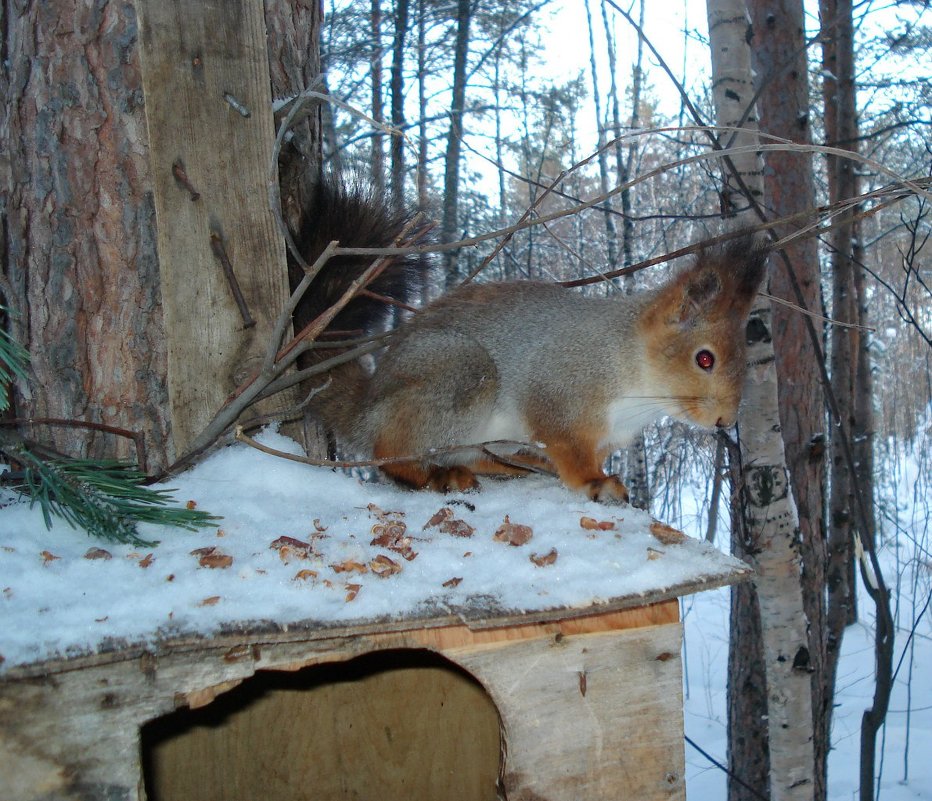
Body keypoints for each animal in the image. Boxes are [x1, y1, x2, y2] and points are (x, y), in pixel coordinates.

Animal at [294, 177, 768, 500]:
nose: (726, 420)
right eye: (704, 359)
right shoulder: (558, 396)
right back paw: (436, 475)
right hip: (458, 373)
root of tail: (367, 406)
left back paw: (508, 465)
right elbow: (569, 451)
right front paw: (596, 483)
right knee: (392, 454)